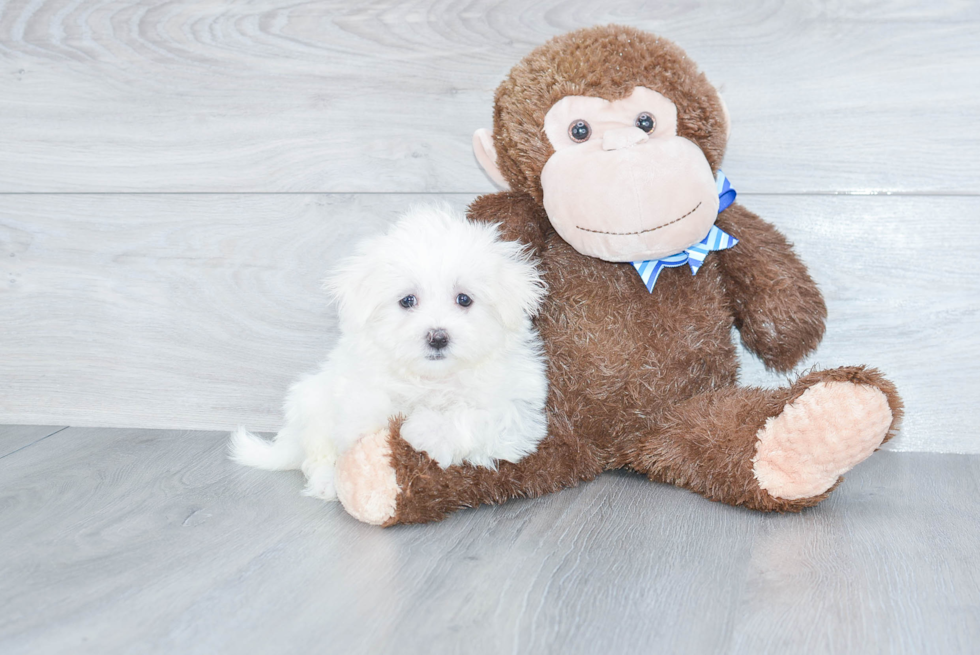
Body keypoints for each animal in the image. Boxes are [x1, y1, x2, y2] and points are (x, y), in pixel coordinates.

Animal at [231, 208, 552, 500]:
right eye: (407, 301)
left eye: (464, 299)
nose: (437, 337)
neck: (433, 380)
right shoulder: (356, 387)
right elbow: (369, 410)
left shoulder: (517, 411)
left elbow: (476, 419)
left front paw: (421, 429)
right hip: (312, 400)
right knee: (317, 454)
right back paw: (326, 483)